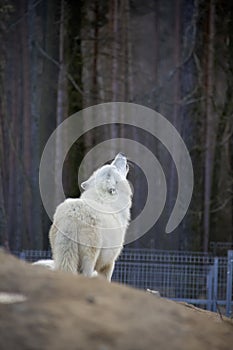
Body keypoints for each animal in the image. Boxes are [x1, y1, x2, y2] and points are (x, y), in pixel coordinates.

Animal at [48, 154, 132, 282]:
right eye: (115, 168)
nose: (121, 155)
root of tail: (72, 217)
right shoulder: (108, 263)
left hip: (59, 253)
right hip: (90, 256)